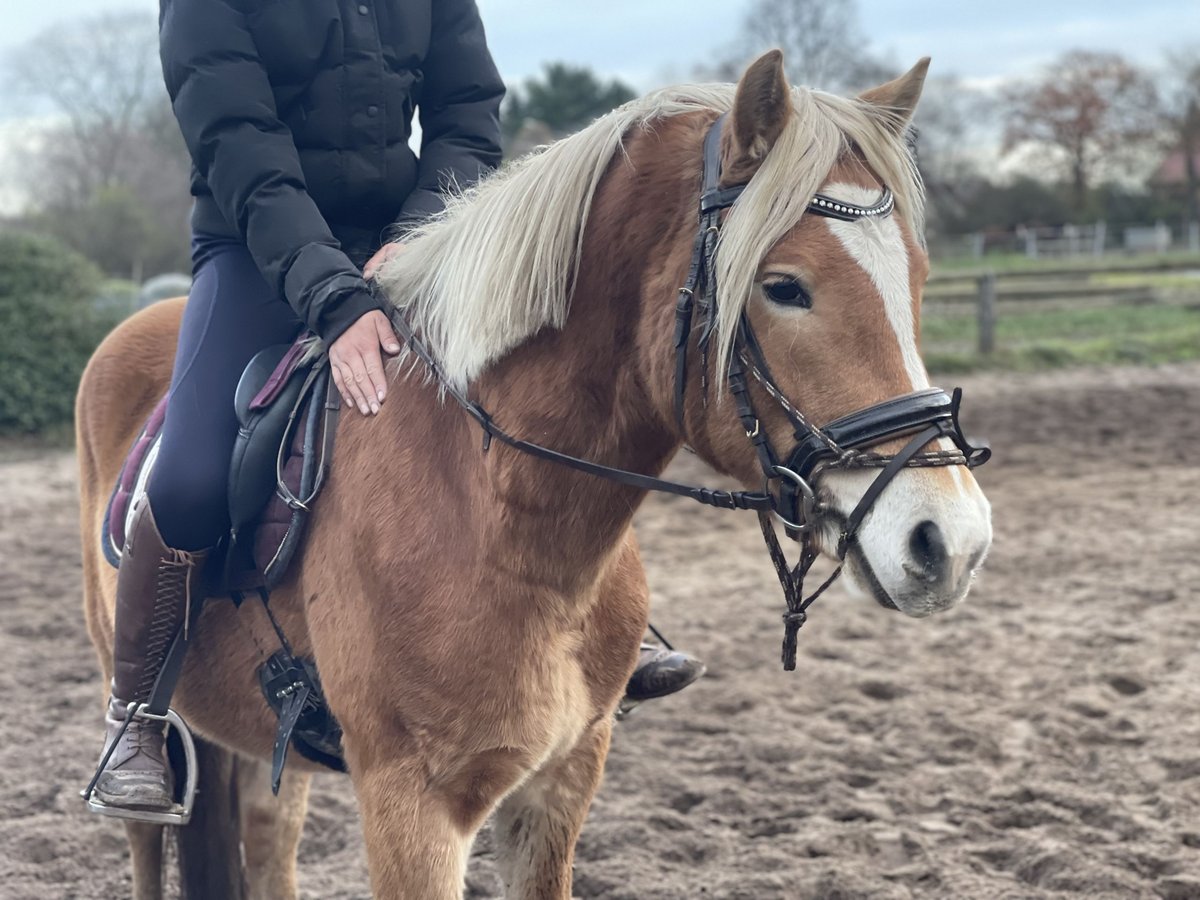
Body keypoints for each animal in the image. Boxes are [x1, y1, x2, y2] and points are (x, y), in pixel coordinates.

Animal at [77, 51, 993, 900]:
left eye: (917, 278)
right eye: (784, 287)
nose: (949, 541)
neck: (500, 519)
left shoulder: (563, 780)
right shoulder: (411, 808)